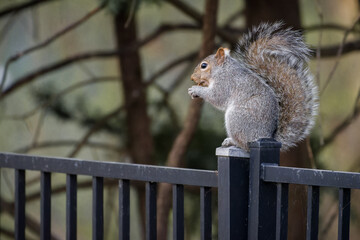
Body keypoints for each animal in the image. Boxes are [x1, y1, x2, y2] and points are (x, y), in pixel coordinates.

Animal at [188, 22, 318, 150]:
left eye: (204, 65)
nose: (192, 77)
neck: (223, 69)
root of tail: (267, 137)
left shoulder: (226, 83)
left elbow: (217, 97)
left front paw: (196, 89)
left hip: (237, 118)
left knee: (244, 144)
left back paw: (231, 142)